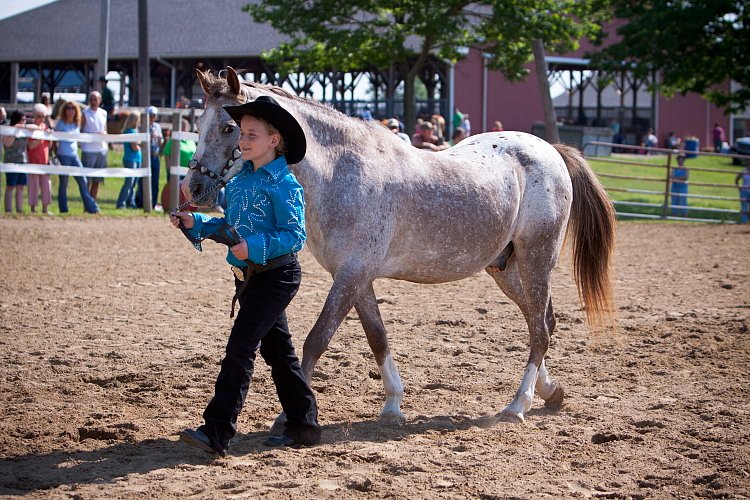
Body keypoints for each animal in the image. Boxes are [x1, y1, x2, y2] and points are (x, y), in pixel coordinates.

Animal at [184, 66, 616, 426]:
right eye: (198, 122)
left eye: (229, 127)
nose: (194, 188)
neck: (341, 171)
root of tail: (550, 150)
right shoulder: (357, 277)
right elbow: (378, 338)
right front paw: (393, 406)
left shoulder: (352, 274)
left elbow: (317, 340)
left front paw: (290, 416)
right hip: (504, 268)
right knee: (541, 322)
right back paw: (550, 392)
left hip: (536, 257)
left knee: (540, 330)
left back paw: (518, 404)